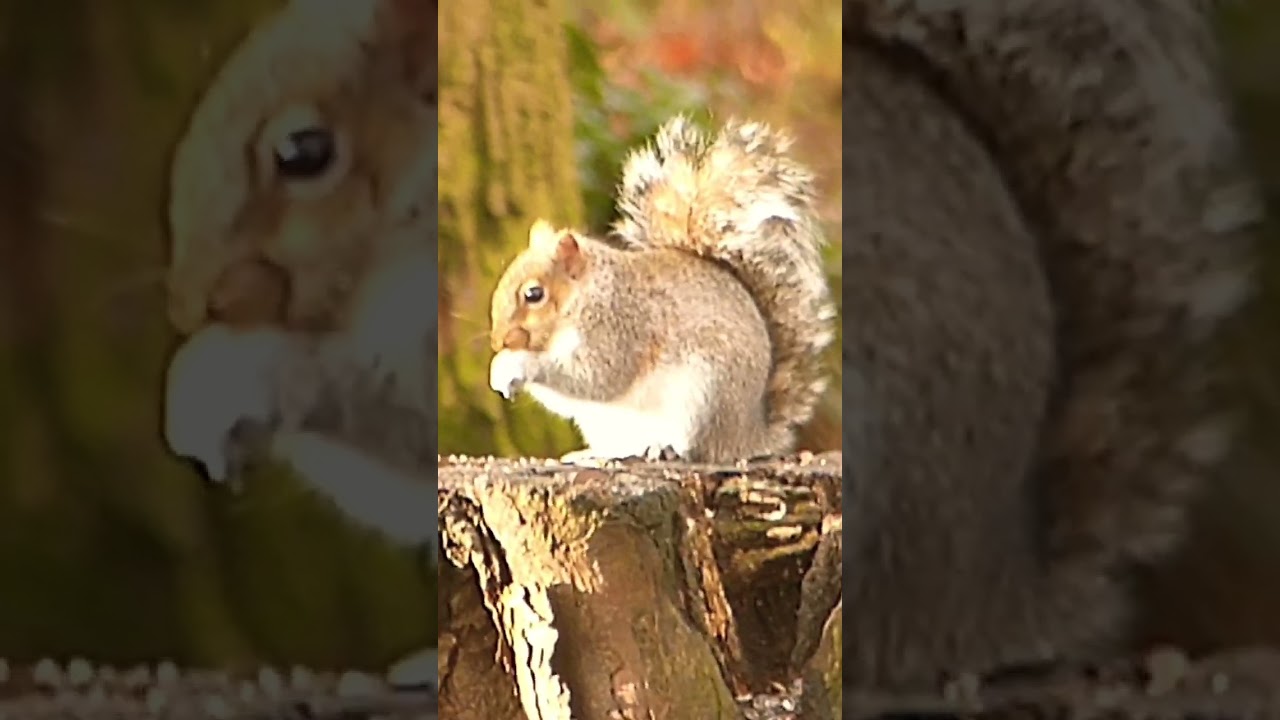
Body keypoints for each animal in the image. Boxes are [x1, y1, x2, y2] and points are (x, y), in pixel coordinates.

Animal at [488, 116, 837, 463]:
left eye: (534, 294)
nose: (498, 341)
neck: (584, 299)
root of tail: (749, 437)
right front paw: (501, 367)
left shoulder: (620, 329)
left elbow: (596, 379)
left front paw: (520, 363)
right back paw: (595, 454)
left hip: (704, 395)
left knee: (697, 448)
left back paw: (664, 447)